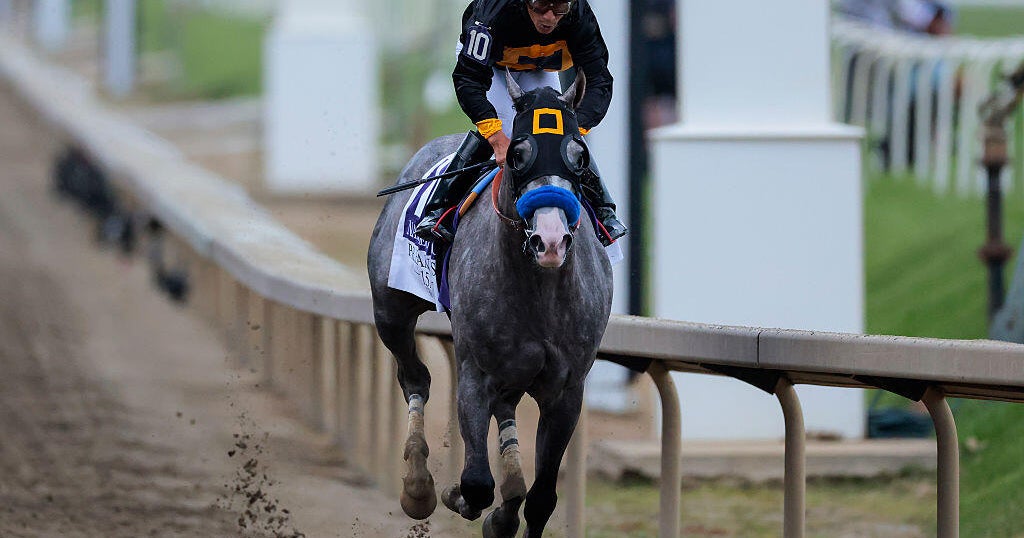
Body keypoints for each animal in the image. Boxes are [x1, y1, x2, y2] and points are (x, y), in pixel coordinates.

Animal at [367, 71, 613, 537]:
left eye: (580, 154)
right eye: (517, 155)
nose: (550, 240)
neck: (539, 291)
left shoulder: (566, 391)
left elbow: (542, 499)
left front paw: (507, 513)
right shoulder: (474, 373)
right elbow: (476, 482)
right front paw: (457, 496)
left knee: (506, 405)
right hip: (390, 312)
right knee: (416, 378)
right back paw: (418, 485)